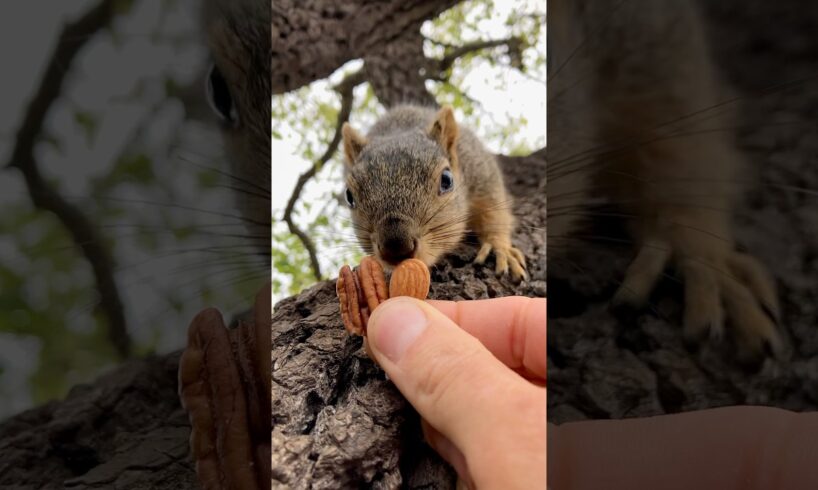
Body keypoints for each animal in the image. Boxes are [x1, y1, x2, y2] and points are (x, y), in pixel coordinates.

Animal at [341, 104, 527, 282]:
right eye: (349, 196)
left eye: (447, 180)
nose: (396, 248)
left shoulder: (481, 172)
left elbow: (494, 213)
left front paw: (500, 248)